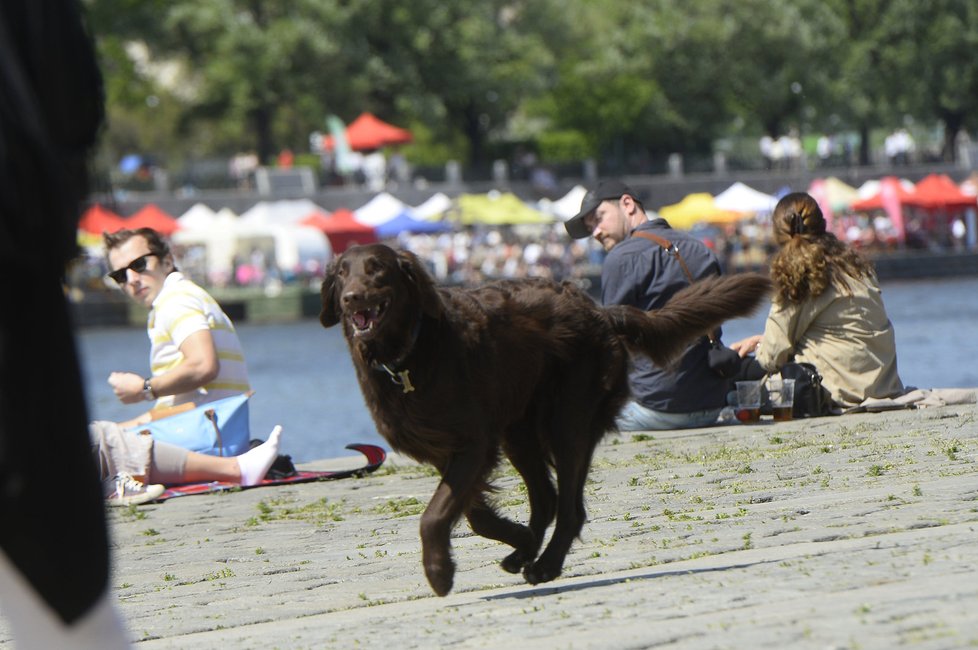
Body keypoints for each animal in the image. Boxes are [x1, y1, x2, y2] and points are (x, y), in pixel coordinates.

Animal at [320, 242, 772, 592]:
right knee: (547, 499)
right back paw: (524, 552)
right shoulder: (452, 449)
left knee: (570, 508)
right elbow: (474, 513)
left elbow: (436, 515)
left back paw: (545, 564)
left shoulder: (474, 442)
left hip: (566, 422)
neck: (409, 354)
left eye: (377, 269)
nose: (351, 298)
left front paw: (440, 572)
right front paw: (513, 537)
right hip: (519, 432)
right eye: (342, 273)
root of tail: (599, 311)